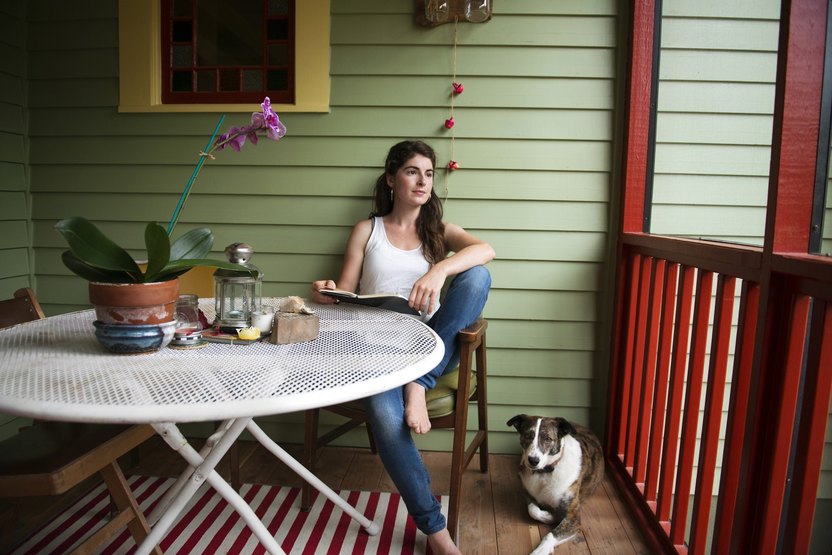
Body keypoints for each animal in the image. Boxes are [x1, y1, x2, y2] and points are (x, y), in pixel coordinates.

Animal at [507, 414, 604, 555]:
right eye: (527, 435)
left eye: (548, 439)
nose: (533, 460)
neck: (545, 472)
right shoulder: (528, 495)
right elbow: (532, 510)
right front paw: (551, 516)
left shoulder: (574, 517)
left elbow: (551, 535)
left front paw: (540, 551)